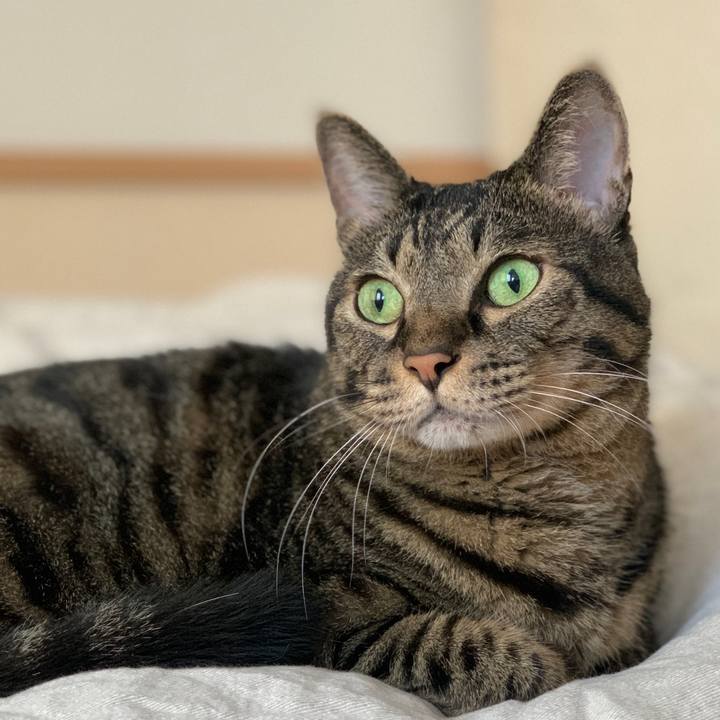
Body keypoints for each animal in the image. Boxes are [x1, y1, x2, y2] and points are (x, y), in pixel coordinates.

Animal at [0, 69, 664, 716]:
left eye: (512, 280)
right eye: (379, 299)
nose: (426, 361)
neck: (558, 504)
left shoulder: (638, 631)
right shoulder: (333, 624)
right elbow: (491, 656)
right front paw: (541, 659)